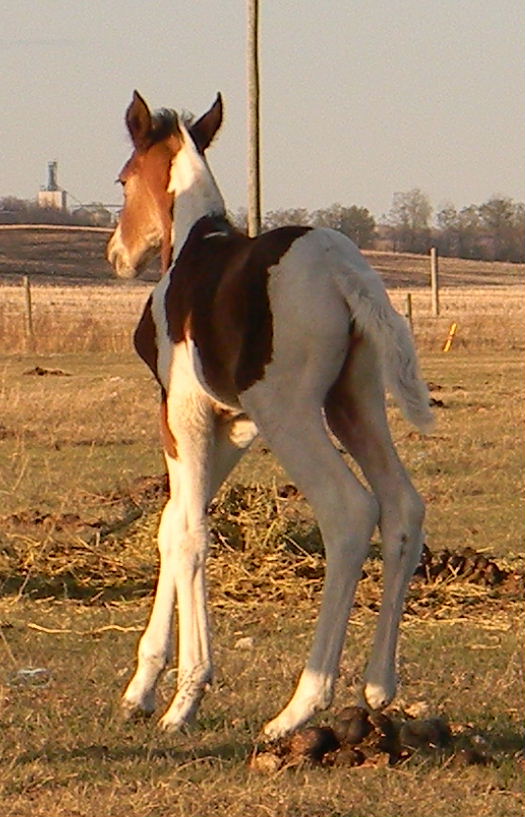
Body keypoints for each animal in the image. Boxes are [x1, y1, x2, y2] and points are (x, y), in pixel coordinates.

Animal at [107, 91, 433, 739]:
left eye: (123, 180)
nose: (117, 256)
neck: (194, 246)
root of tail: (341, 268)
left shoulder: (183, 415)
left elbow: (189, 533)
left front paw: (185, 696)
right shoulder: (233, 425)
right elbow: (172, 524)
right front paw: (143, 687)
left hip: (292, 416)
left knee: (350, 511)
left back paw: (300, 706)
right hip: (353, 405)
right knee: (403, 506)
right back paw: (379, 685)